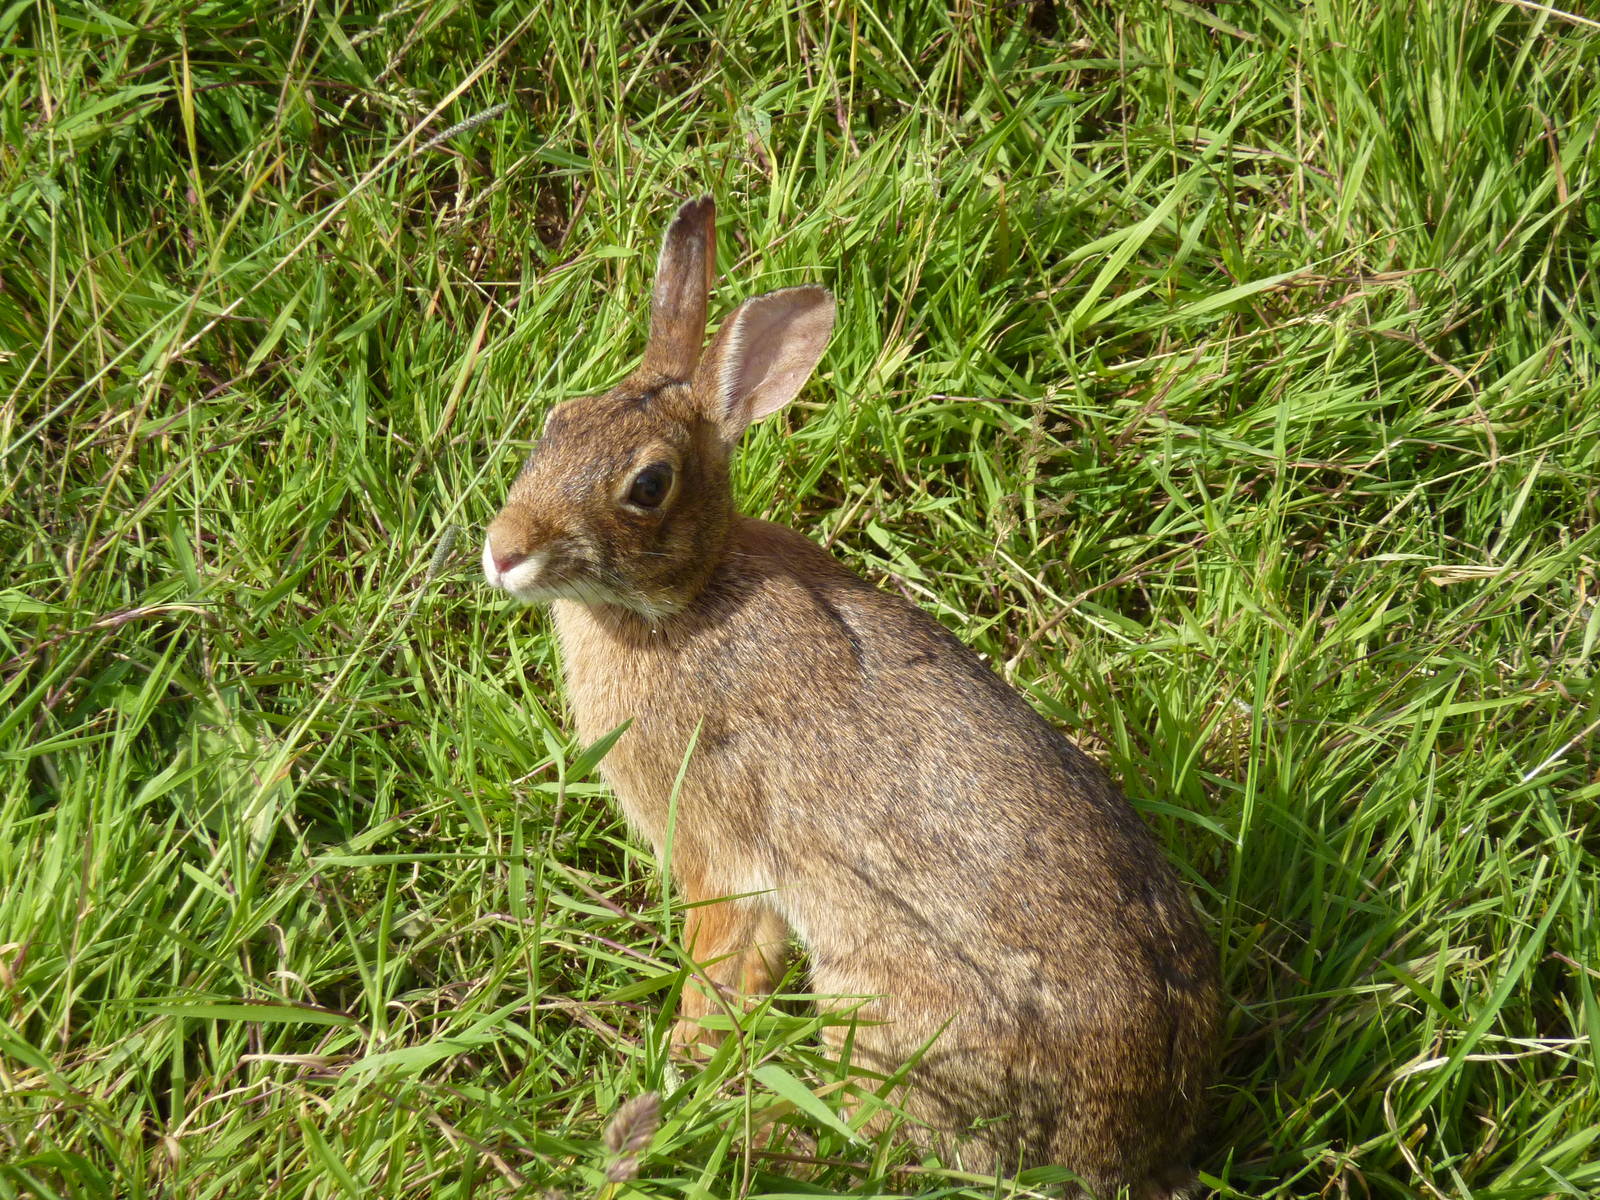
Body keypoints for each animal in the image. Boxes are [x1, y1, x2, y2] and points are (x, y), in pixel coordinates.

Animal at [483, 196, 1218, 1197]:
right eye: (557, 422)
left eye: (648, 485)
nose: (503, 551)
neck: (687, 599)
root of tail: (1132, 1141)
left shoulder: (718, 857)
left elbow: (724, 969)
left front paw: (676, 1063)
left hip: (880, 1010)